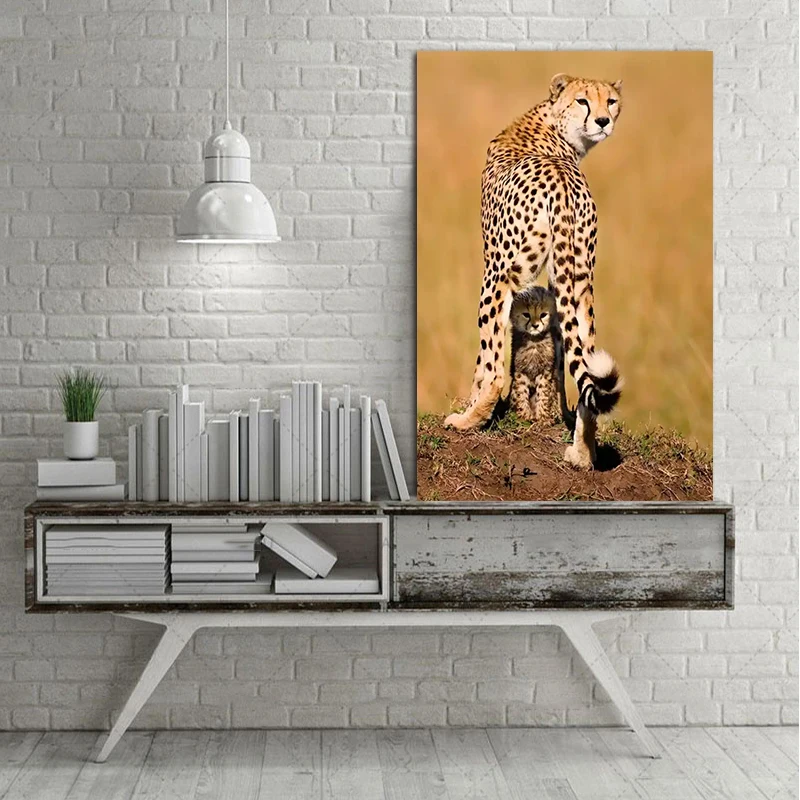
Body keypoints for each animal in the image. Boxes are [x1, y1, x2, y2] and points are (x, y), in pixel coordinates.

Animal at [508, 285, 570, 426]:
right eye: (526, 314)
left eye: (543, 315)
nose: (535, 325)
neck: (534, 340)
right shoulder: (520, 371)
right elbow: (521, 393)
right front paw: (524, 416)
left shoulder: (545, 372)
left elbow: (543, 393)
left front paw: (542, 417)